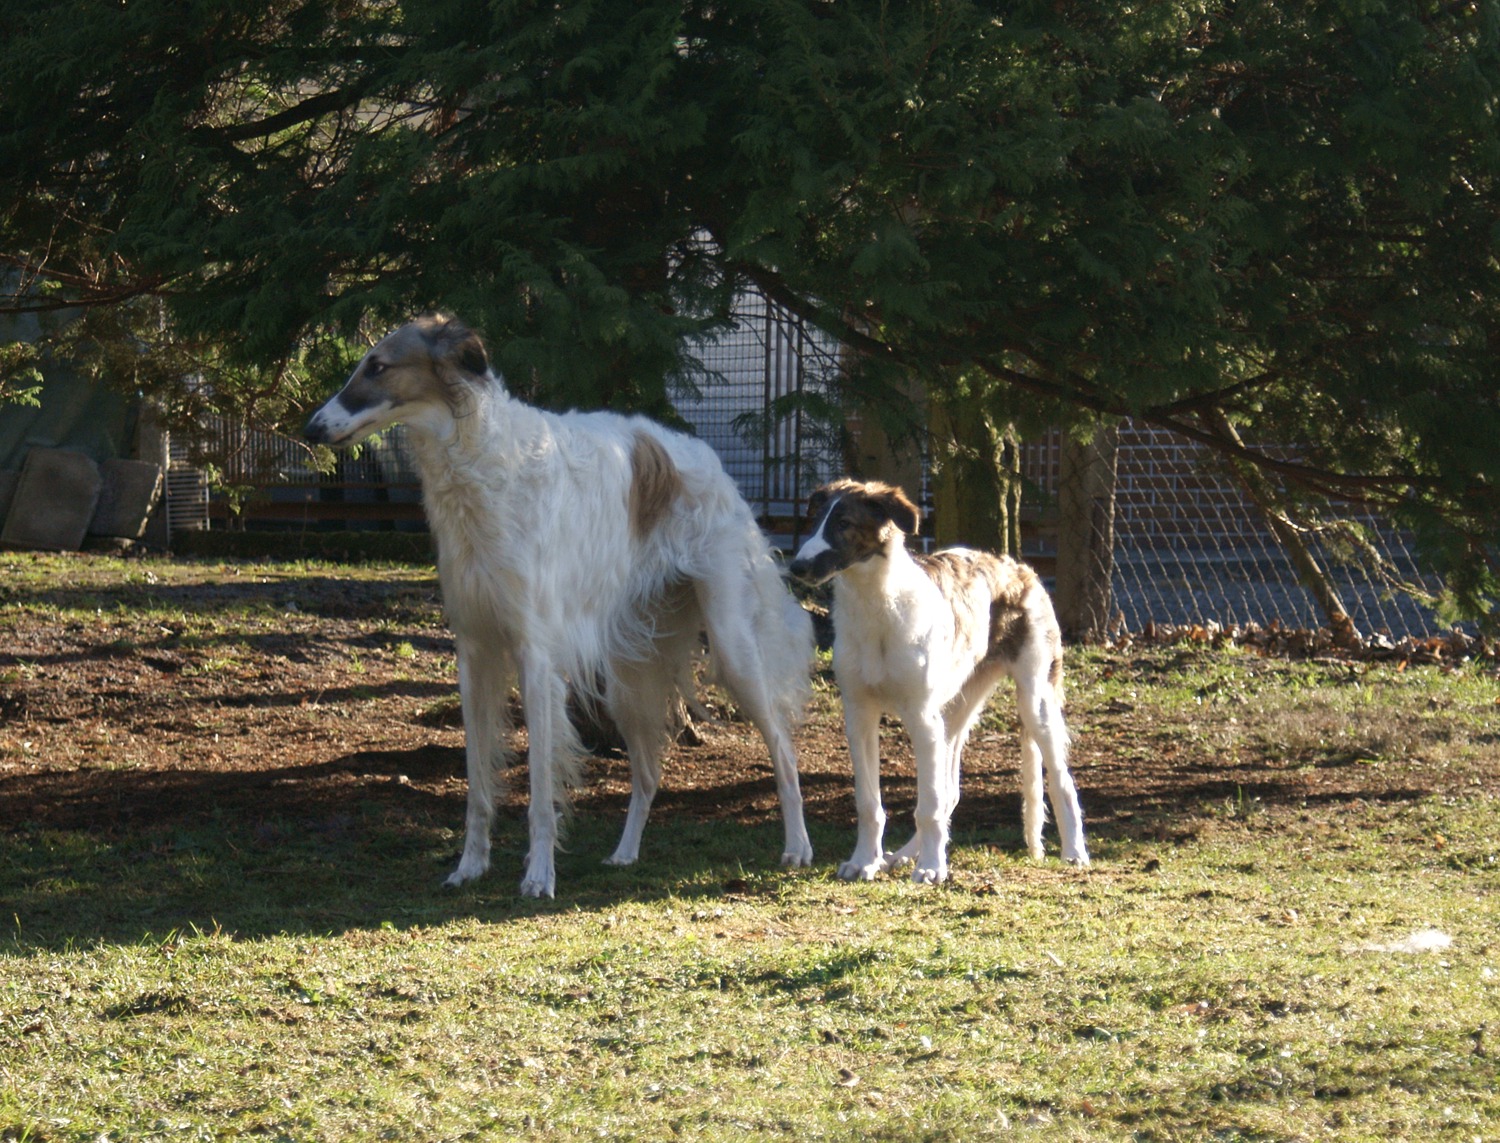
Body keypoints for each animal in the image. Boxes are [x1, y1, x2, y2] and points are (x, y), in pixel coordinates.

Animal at [307, 316, 822, 894]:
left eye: (377, 365)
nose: (311, 428)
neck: (481, 460)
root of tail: (708, 459)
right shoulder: (474, 651)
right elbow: (478, 784)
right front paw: (470, 866)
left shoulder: (535, 654)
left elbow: (539, 787)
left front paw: (539, 876)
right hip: (627, 675)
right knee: (649, 772)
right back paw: (624, 853)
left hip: (732, 643)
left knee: (782, 748)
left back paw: (797, 846)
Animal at [786, 480, 1092, 882]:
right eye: (815, 519)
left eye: (844, 523)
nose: (797, 567)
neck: (879, 608)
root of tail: (1022, 569)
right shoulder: (860, 715)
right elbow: (870, 803)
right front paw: (865, 860)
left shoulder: (920, 717)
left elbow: (927, 804)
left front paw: (932, 868)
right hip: (955, 712)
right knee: (951, 792)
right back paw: (900, 856)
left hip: (1035, 700)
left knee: (1061, 780)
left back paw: (1074, 852)